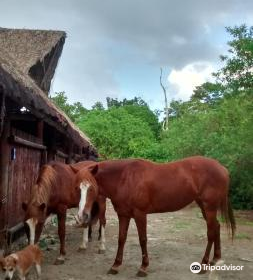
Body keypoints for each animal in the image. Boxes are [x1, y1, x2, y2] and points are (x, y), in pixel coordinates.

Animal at [72, 156, 235, 276]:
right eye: (77, 188)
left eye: (91, 187)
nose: (82, 216)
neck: (125, 178)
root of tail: (223, 168)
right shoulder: (123, 215)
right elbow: (121, 239)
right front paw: (116, 265)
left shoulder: (140, 214)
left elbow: (143, 239)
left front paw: (143, 267)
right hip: (204, 206)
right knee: (216, 227)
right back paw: (216, 259)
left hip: (209, 207)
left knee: (211, 232)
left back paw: (204, 264)